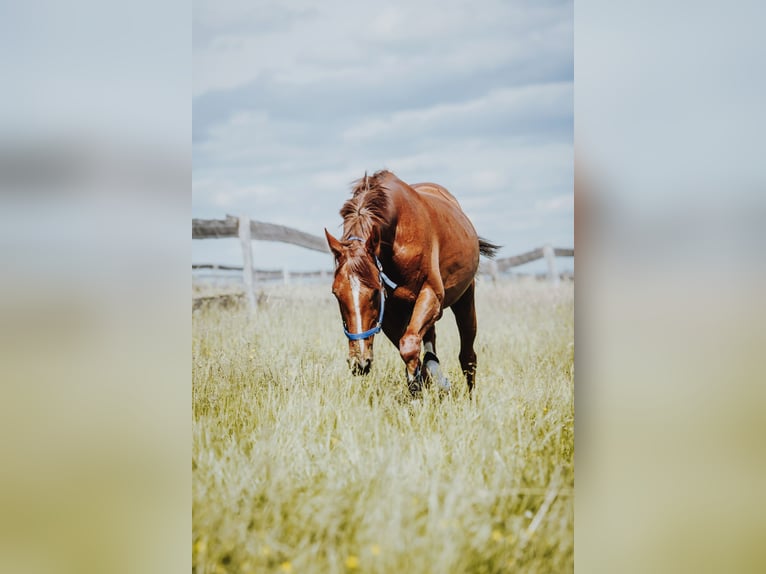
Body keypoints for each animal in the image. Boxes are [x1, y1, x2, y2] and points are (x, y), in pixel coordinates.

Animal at [322, 170, 498, 396]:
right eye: (336, 293)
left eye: (374, 292)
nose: (359, 363)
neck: (397, 234)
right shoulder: (390, 312)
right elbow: (409, 347)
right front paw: (422, 383)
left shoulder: (431, 294)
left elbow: (409, 346)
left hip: (465, 299)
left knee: (467, 354)